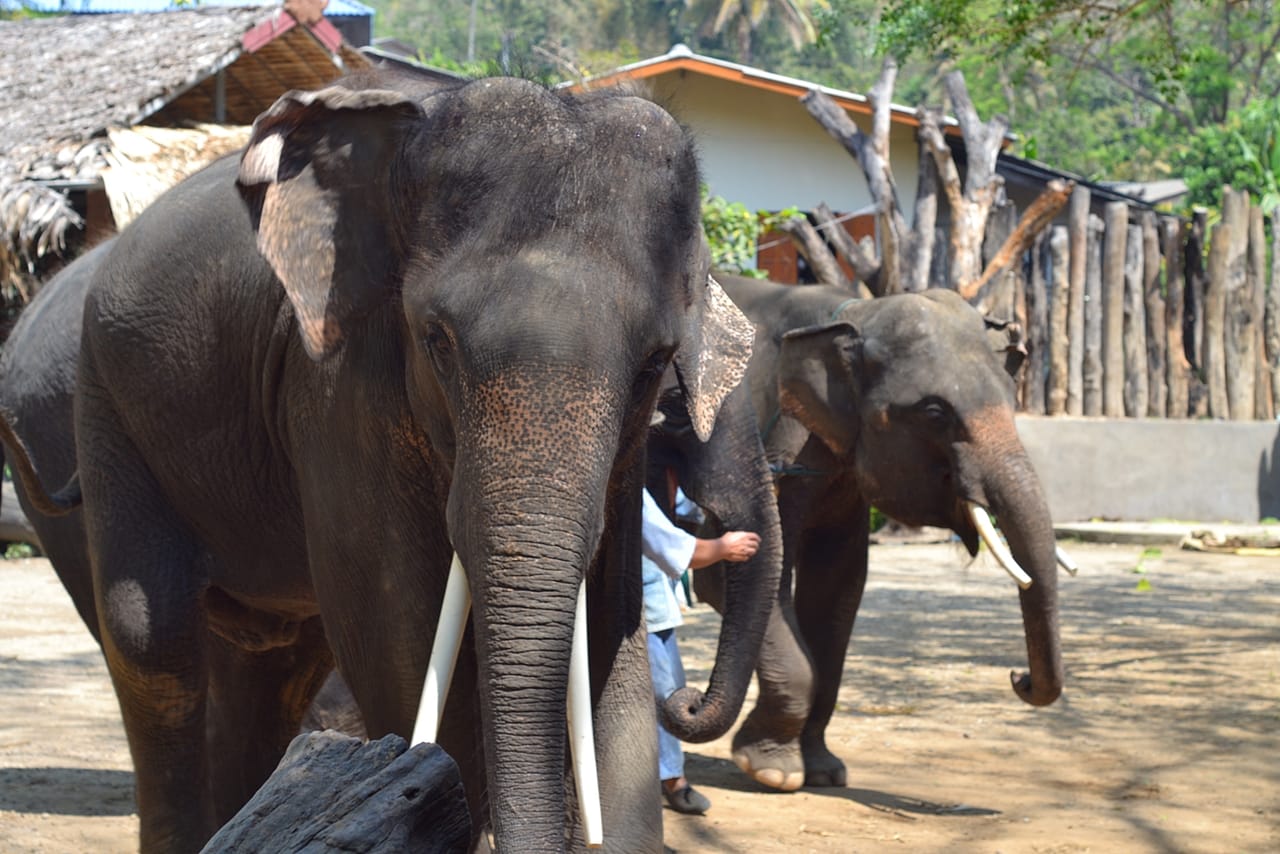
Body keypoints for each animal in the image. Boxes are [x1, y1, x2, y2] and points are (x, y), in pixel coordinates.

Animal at [0, 72, 784, 853]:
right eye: (436, 341)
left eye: (656, 363)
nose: (685, 700)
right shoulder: (337, 389)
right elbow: (402, 638)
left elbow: (614, 655)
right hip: (106, 406)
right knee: (152, 640)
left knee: (268, 668)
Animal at [692, 272, 1064, 792]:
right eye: (934, 413)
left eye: (1013, 403)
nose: (1018, 678)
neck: (853, 317)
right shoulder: (773, 439)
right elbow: (729, 575)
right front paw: (772, 771)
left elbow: (839, 583)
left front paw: (825, 772)